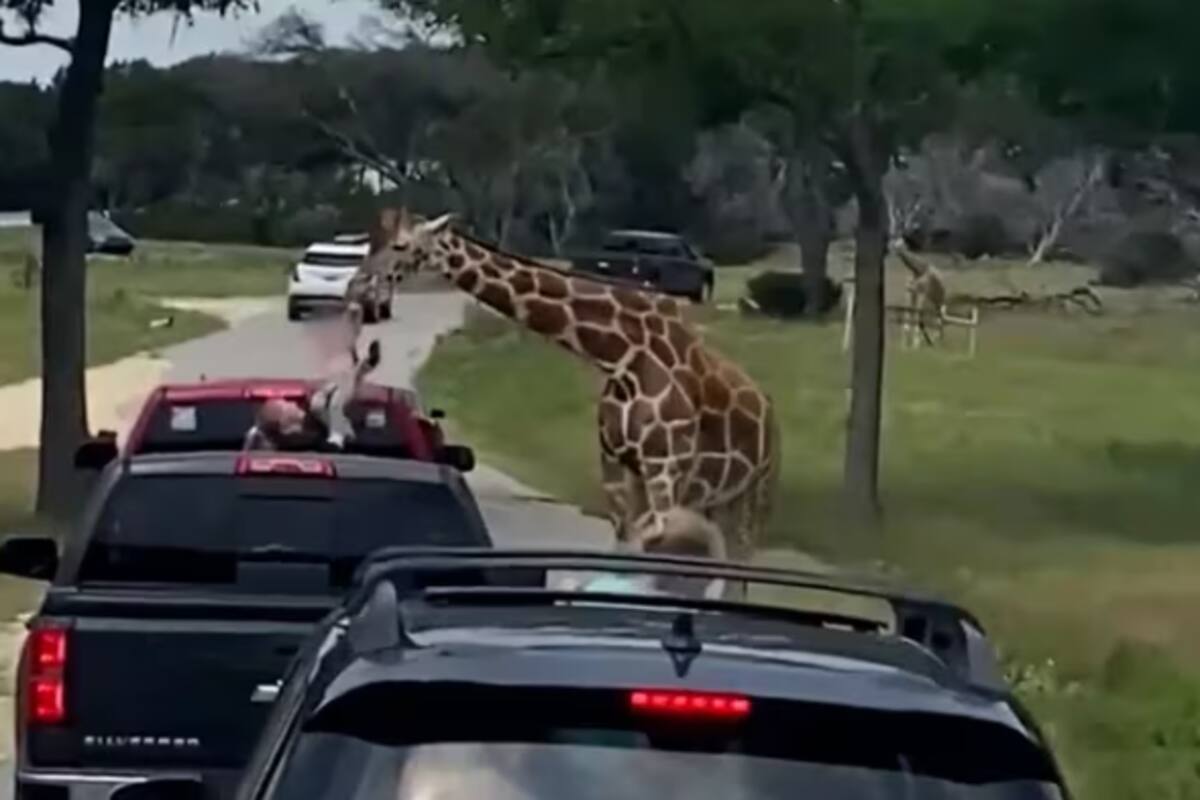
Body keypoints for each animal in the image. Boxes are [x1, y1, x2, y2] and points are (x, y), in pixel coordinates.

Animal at [374, 208, 779, 560]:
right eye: (382, 239)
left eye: (401, 245)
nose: (370, 277)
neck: (622, 356)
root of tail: (768, 410)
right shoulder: (617, 467)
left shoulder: (665, 470)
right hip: (715, 499)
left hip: (754, 493)